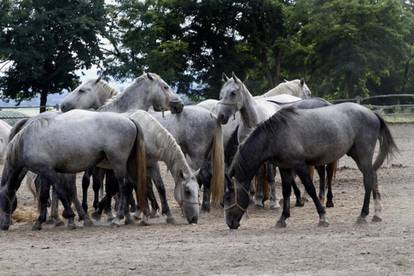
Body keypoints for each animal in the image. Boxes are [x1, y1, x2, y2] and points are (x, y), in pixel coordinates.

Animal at [0, 110, 146, 231]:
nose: (3, 226)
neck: (27, 140)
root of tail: (129, 120)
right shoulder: (44, 173)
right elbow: (44, 195)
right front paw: (39, 221)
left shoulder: (49, 172)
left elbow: (61, 192)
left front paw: (70, 218)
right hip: (127, 164)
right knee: (129, 185)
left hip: (118, 164)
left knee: (123, 186)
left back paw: (117, 218)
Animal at [223, 102, 398, 230]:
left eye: (229, 197)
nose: (230, 223)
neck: (276, 134)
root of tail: (372, 114)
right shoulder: (285, 168)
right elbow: (286, 192)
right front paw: (282, 219)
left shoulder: (300, 166)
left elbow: (311, 189)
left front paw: (323, 217)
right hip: (359, 156)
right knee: (373, 177)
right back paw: (377, 214)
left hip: (362, 156)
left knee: (368, 180)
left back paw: (363, 215)